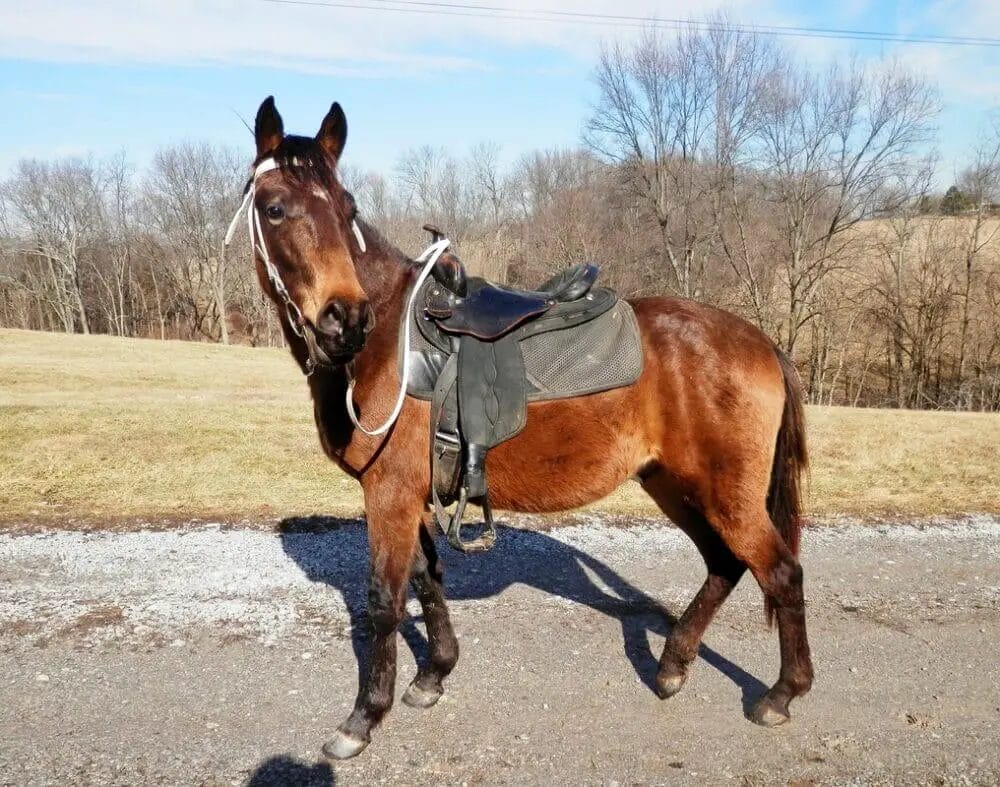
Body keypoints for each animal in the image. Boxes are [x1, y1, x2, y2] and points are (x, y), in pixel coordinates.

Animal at [232, 96, 813, 760]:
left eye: (346, 209)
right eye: (275, 208)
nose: (345, 319)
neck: (386, 347)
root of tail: (760, 343)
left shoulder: (388, 493)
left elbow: (384, 599)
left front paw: (363, 718)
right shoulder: (413, 495)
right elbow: (426, 578)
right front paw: (433, 676)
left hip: (724, 493)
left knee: (780, 572)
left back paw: (781, 694)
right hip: (673, 484)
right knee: (724, 564)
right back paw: (672, 666)